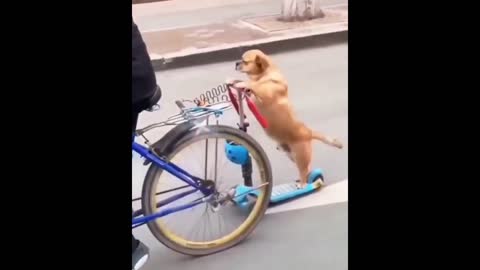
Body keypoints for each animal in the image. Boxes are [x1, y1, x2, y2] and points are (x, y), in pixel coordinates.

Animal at [228, 49, 342, 188]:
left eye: (245, 61)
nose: (236, 63)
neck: (265, 74)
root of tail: (308, 132)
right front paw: (233, 81)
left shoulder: (264, 93)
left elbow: (253, 84)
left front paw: (242, 82)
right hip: (291, 155)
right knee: (307, 169)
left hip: (300, 156)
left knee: (304, 170)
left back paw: (303, 184)